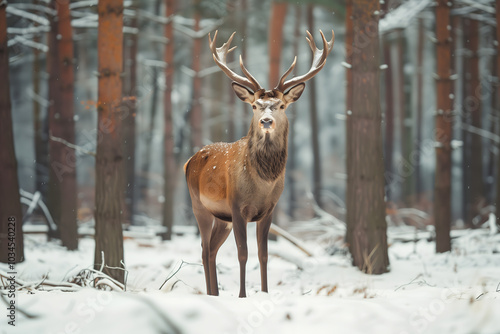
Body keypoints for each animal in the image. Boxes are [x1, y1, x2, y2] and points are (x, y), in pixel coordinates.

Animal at [185, 29, 336, 298]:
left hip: (221, 218)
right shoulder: (237, 207)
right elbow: (243, 254)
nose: (266, 120)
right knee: (203, 249)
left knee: (211, 250)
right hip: (198, 205)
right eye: (255, 105)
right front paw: (242, 296)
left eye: (282, 105)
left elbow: (264, 255)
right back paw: (212, 293)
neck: (262, 183)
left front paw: (264, 292)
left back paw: (215, 293)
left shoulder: (269, 210)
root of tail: (188, 161)